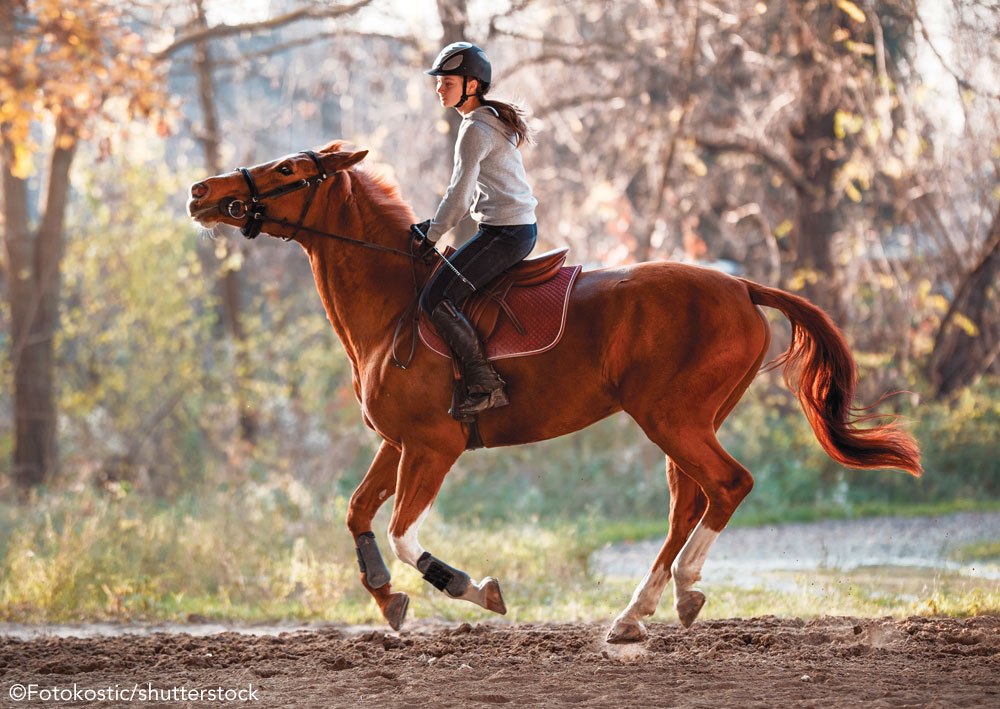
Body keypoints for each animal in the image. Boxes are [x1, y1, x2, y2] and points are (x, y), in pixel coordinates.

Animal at [188, 142, 920, 640]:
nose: (200, 191)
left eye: (288, 170)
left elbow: (400, 530)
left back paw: (676, 593)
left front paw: (473, 589)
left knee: (726, 485)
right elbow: (358, 512)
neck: (393, 305)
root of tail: (740, 285)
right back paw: (640, 611)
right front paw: (388, 599)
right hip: (681, 421)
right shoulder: (398, 444)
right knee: (692, 501)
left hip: (672, 417)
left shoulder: (433, 446)